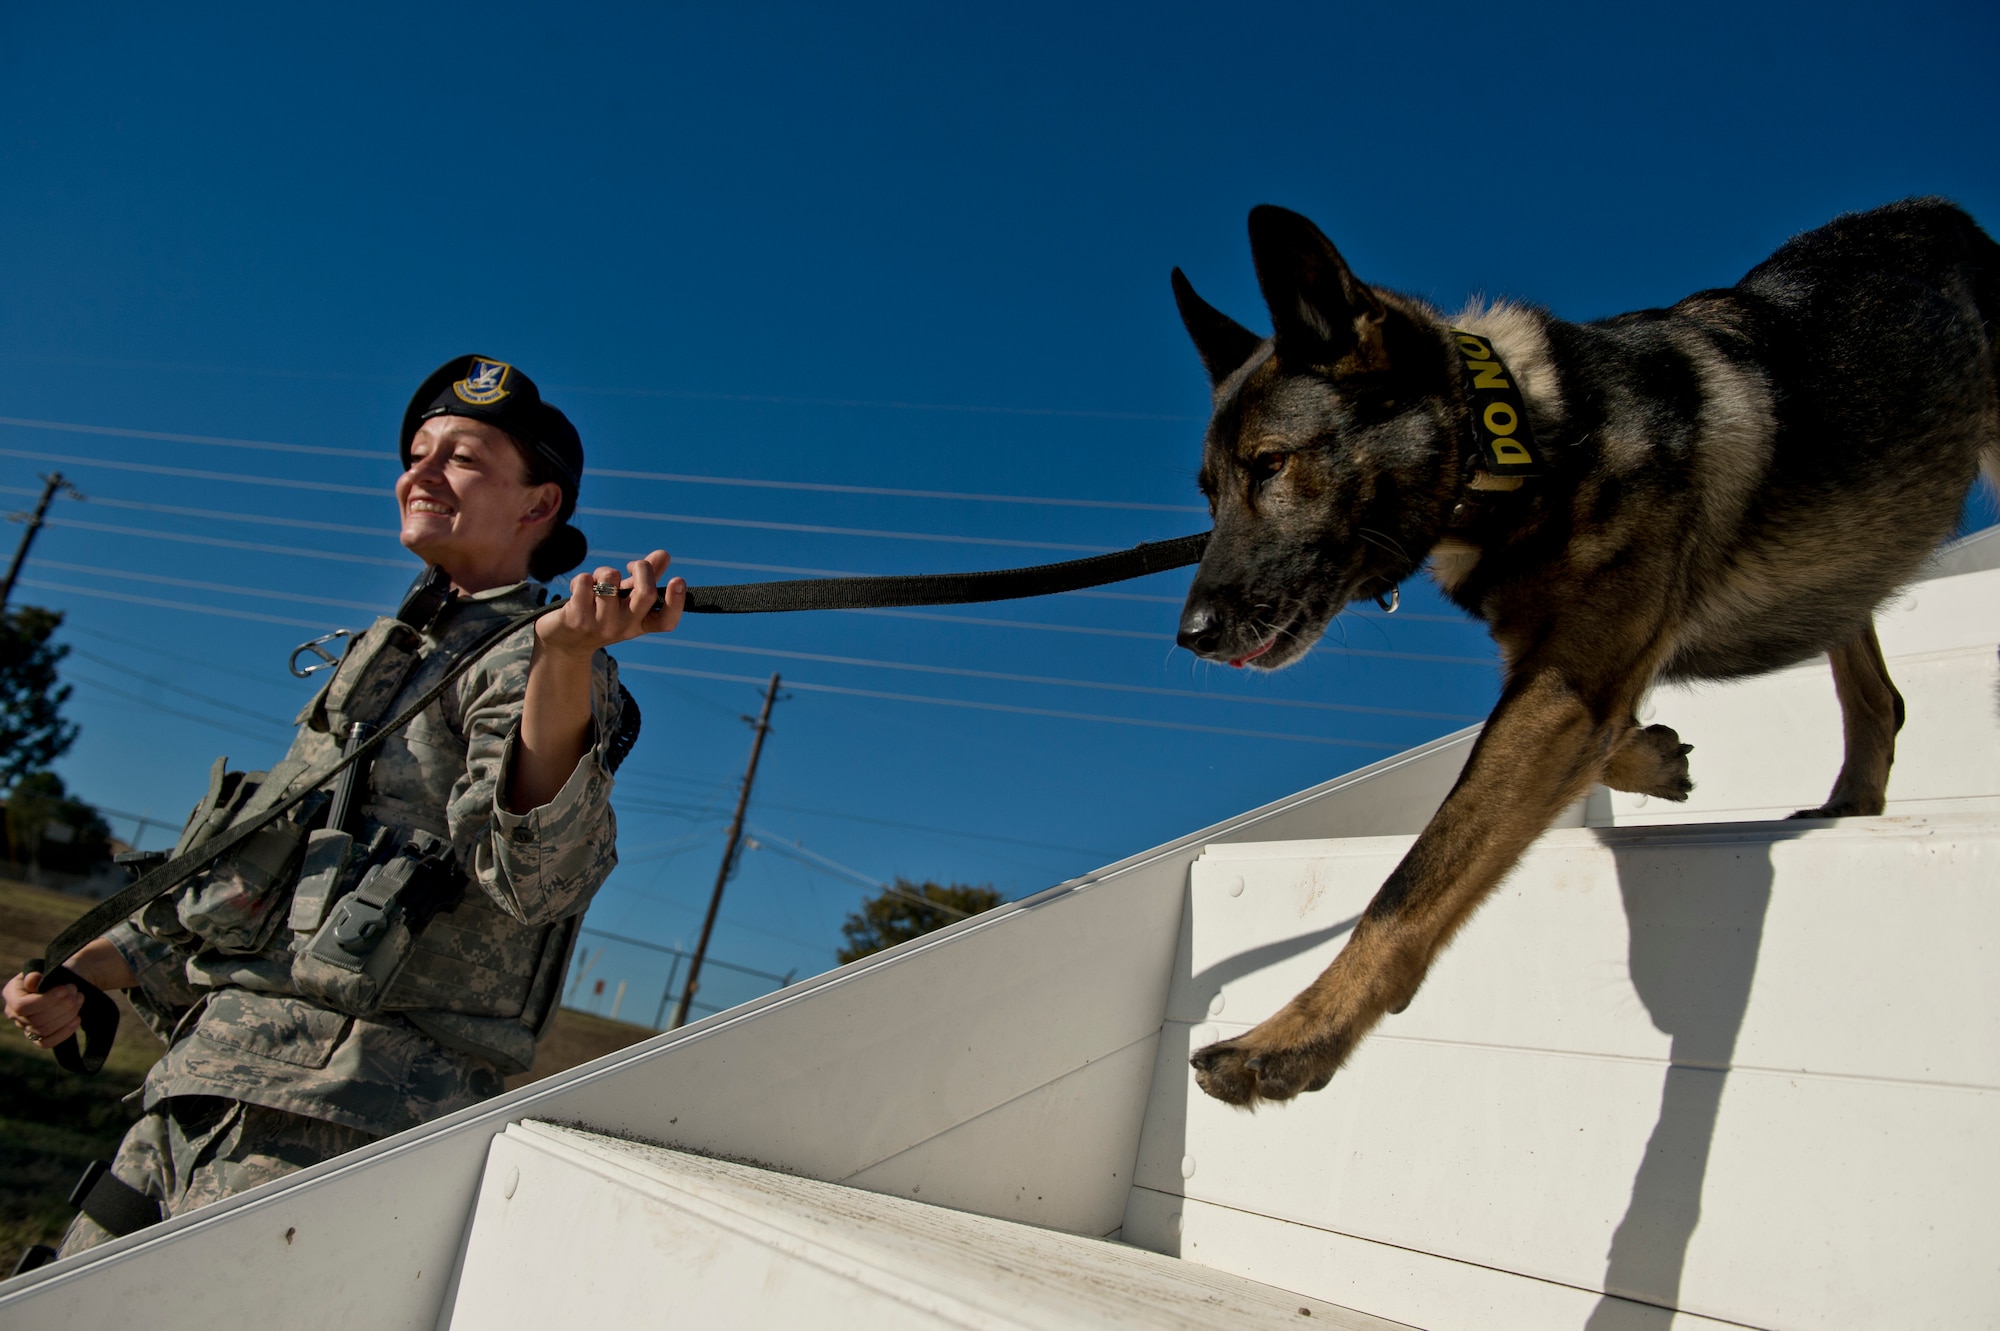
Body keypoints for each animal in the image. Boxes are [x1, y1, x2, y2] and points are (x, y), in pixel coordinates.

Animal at [1168, 196, 2000, 1103]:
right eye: (1209, 495)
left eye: (1271, 464)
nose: (1191, 636)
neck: (1521, 443)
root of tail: (1937, 211)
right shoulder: (1563, 679)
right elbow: (1588, 743)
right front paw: (1654, 756)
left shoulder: (1564, 690)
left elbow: (1415, 874)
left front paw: (1290, 1039)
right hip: (1857, 540)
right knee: (1874, 686)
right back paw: (1851, 794)